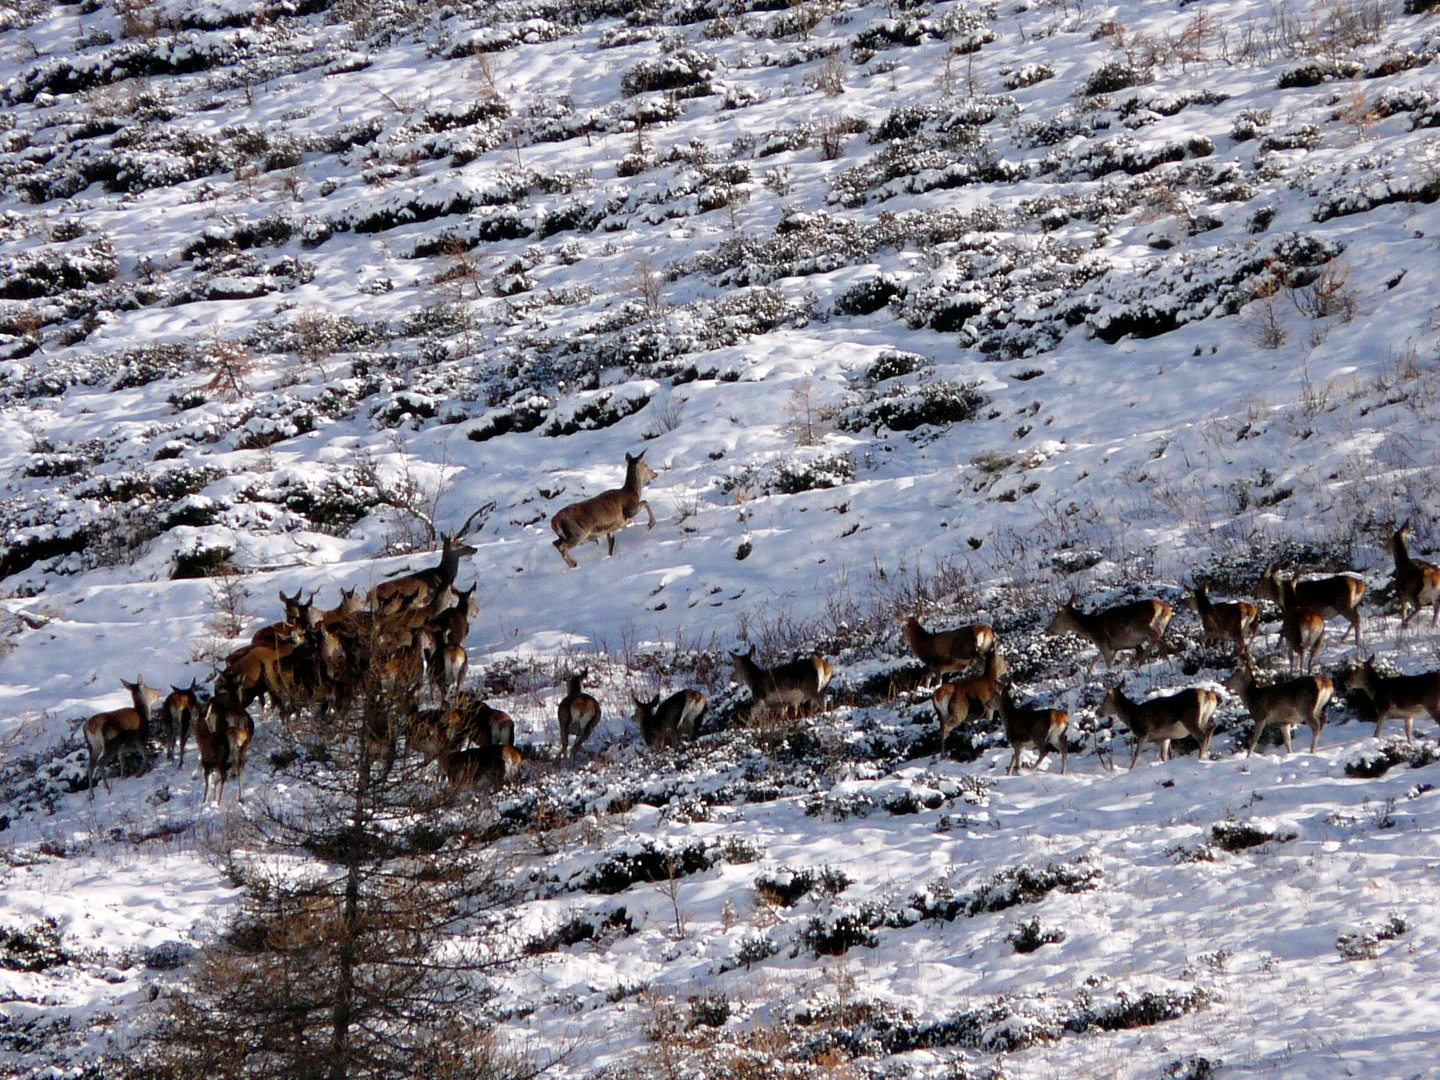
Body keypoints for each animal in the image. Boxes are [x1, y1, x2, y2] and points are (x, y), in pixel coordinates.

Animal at [1042, 596, 1175, 673]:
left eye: (1056, 617)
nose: (1048, 630)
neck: (1090, 630)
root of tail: (1166, 608)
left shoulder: (1103, 642)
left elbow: (1108, 663)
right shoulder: (1114, 646)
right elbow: (1095, 659)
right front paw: (1089, 674)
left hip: (1142, 626)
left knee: (1157, 639)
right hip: (1159, 627)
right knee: (1158, 641)